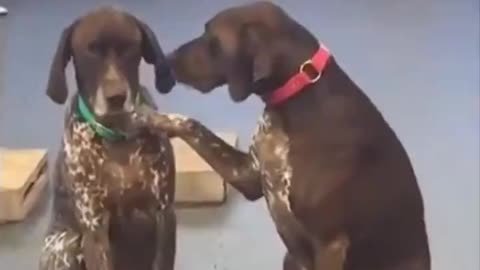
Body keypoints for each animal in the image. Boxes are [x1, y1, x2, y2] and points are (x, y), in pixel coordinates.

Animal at [40, 6, 176, 270]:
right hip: (66, 244)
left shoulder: (164, 213)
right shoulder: (94, 227)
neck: (117, 136)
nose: (116, 97)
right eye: (90, 51)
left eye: (130, 48)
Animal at [132, 2, 432, 270]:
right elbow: (191, 124)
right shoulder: (248, 174)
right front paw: (147, 116)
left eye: (213, 40)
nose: (168, 59)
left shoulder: (331, 244)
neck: (295, 100)